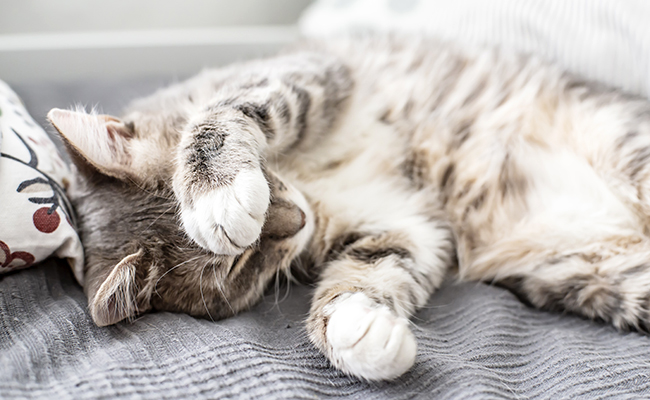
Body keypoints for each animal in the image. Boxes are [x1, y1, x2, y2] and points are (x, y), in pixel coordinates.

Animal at [49, 35, 650, 382]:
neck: (312, 190)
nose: (297, 220)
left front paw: (217, 195)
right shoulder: (405, 224)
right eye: (244, 266)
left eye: (266, 174)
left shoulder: (305, 72)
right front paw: (357, 331)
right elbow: (373, 269)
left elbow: (223, 114)